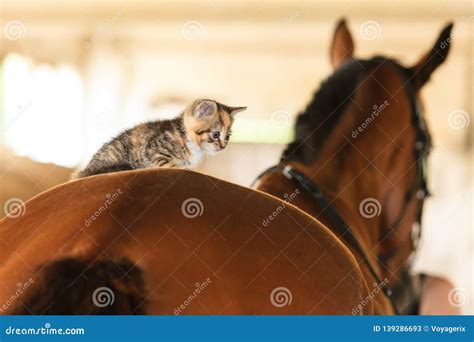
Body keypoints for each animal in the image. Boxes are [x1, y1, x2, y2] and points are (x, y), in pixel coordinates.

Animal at [76, 99, 246, 178]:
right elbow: (174, 166)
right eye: (215, 135)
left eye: (228, 136)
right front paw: (185, 169)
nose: (223, 146)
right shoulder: (154, 153)